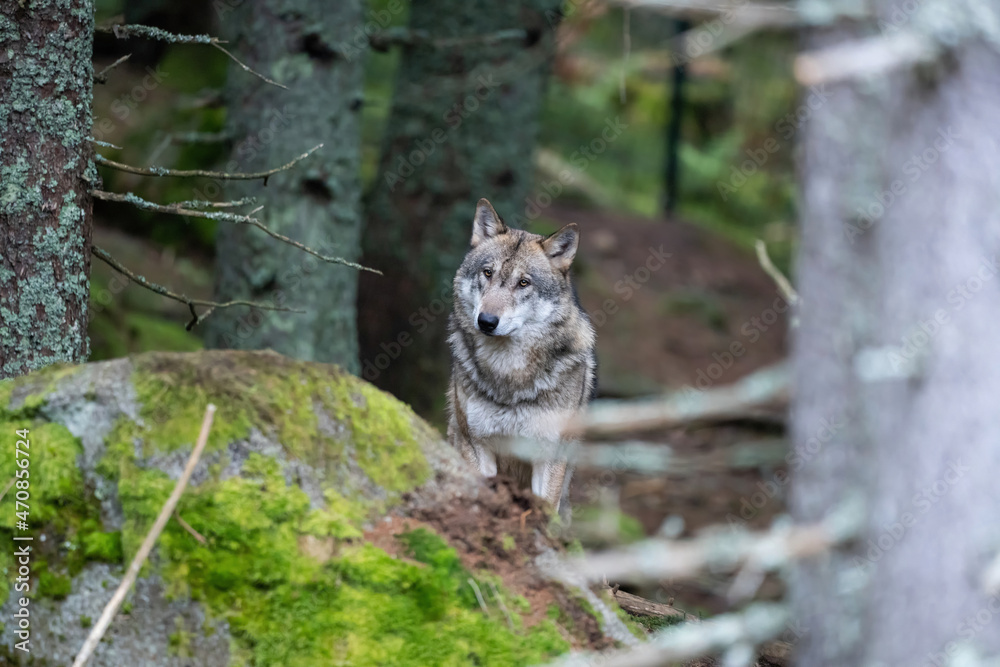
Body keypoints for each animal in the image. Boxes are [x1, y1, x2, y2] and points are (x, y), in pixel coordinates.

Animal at [447, 198, 597, 513]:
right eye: (488, 273)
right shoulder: (476, 446)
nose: (486, 321)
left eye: (524, 283)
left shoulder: (548, 457)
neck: (509, 376)